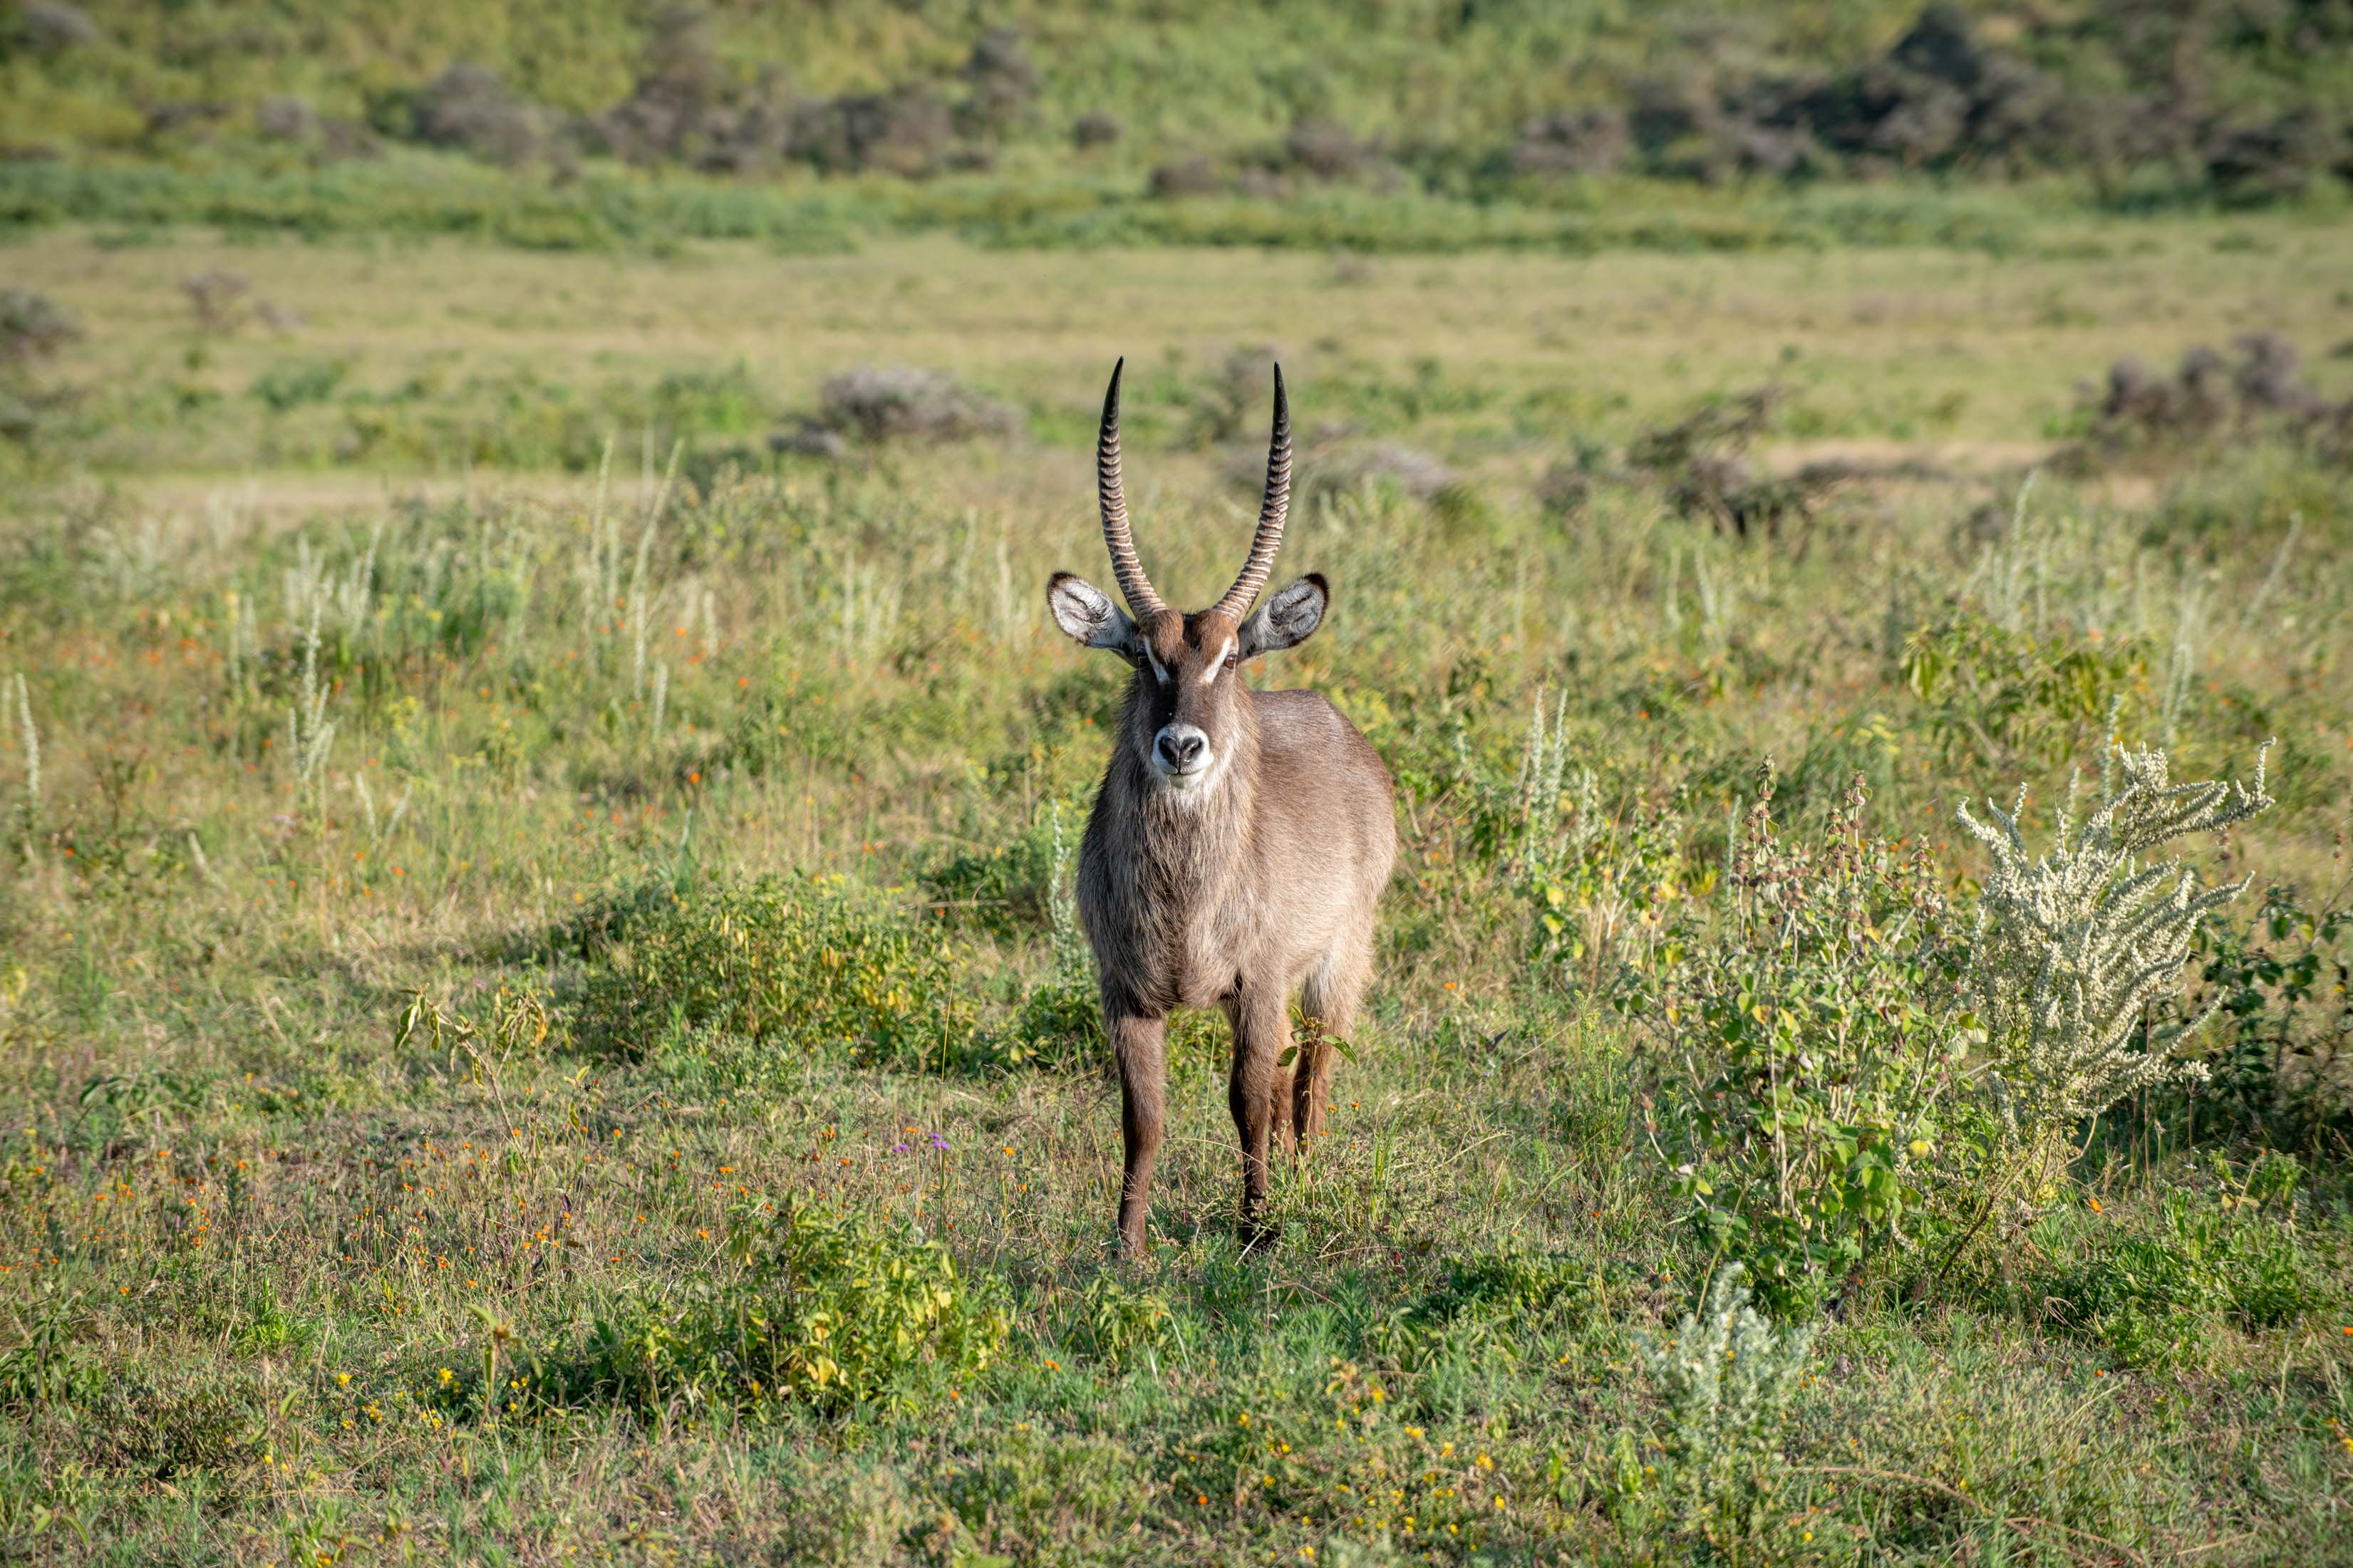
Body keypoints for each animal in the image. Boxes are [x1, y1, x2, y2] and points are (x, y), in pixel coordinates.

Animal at [1049, 355, 1392, 1250]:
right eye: (1142, 653)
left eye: (1230, 655)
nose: (1180, 747)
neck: (1182, 899)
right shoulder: (1124, 991)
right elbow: (1143, 1118)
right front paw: (1126, 1244)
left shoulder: (1260, 981)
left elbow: (1245, 1101)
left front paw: (1258, 1227)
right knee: (1287, 1077)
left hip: (1338, 961)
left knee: (1309, 1076)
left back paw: (1304, 1180)